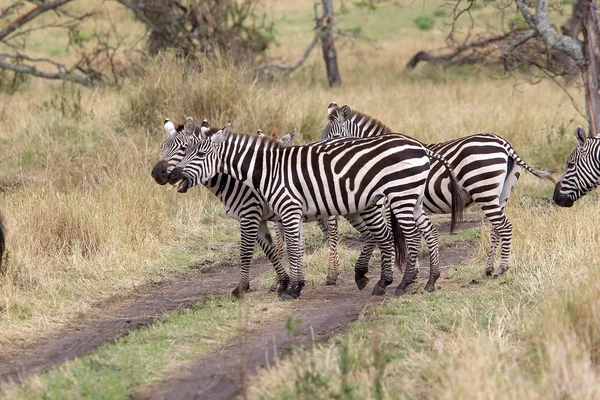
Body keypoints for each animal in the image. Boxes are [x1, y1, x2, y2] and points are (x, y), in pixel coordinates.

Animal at [169, 117, 468, 298]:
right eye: (185, 152)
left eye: (199, 153)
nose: (171, 176)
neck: (269, 170)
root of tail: (419, 145)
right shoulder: (288, 212)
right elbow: (293, 248)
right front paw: (292, 284)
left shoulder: (287, 209)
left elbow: (290, 248)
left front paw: (292, 289)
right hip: (411, 197)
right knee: (426, 231)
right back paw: (428, 280)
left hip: (400, 195)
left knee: (411, 235)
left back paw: (403, 284)